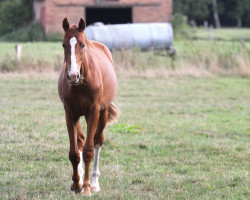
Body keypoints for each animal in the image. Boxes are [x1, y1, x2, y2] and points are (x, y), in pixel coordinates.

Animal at [57, 18, 118, 196]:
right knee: (80, 141)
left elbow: (89, 151)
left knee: (97, 141)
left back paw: (95, 182)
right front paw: (76, 184)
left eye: (82, 45)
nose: (72, 76)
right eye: (63, 45)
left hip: (102, 112)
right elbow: (74, 152)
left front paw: (86, 187)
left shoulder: (93, 112)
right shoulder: (70, 113)